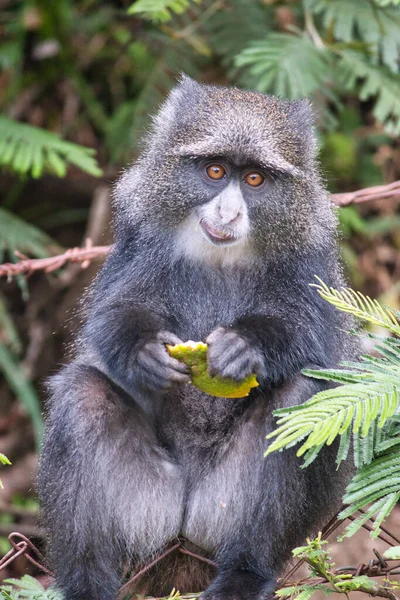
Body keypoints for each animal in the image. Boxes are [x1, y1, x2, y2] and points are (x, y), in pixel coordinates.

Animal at [39, 76, 354, 600]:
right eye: (215, 171)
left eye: (255, 180)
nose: (227, 211)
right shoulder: (139, 238)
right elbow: (113, 312)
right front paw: (143, 352)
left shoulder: (311, 259)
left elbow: (316, 340)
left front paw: (247, 347)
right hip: (149, 511)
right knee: (84, 396)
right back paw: (87, 582)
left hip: (222, 512)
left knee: (302, 400)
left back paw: (244, 574)